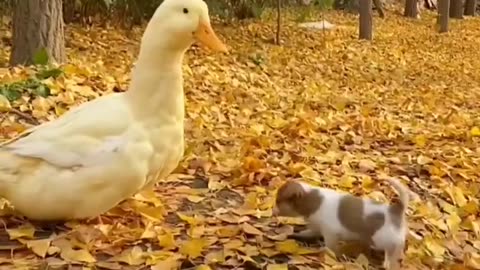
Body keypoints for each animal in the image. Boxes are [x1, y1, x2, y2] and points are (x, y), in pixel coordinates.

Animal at [272, 178, 410, 268]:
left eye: (278, 201)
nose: (272, 212)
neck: (311, 199)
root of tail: (395, 210)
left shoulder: (330, 234)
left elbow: (329, 247)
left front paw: (325, 252)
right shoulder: (316, 227)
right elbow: (309, 232)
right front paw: (298, 234)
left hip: (382, 240)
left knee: (394, 249)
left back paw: (389, 262)